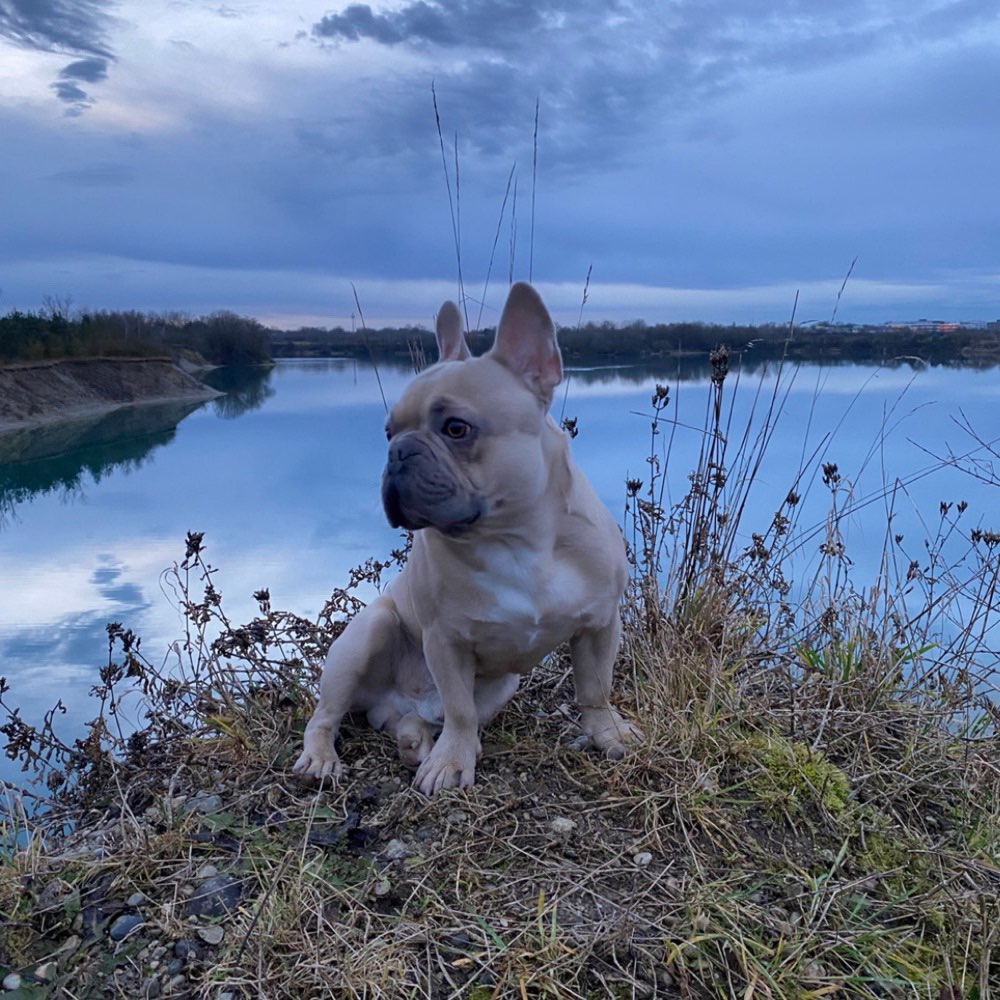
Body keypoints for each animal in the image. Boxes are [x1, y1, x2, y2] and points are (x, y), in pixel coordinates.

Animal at [292, 282, 644, 796]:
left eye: (456, 428)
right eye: (389, 431)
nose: (398, 451)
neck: (517, 538)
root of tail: (398, 702)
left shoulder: (599, 625)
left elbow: (594, 688)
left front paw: (608, 733)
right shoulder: (447, 640)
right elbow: (458, 711)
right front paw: (452, 763)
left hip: (502, 685)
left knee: (419, 721)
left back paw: (415, 740)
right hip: (364, 636)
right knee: (328, 715)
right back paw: (323, 757)